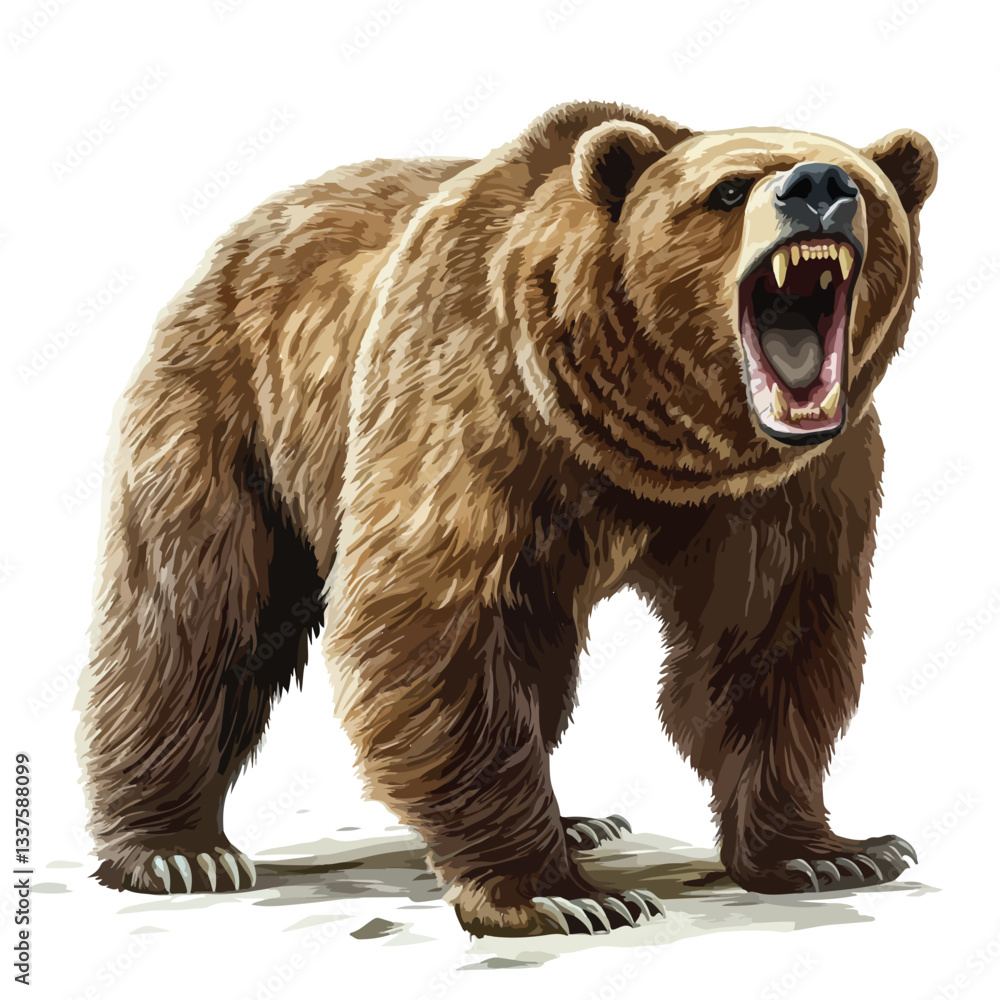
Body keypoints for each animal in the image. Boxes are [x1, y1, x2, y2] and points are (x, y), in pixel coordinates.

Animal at [76, 100, 937, 937]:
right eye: (727, 191)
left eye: (866, 186)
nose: (818, 185)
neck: (662, 442)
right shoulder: (474, 400)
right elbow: (430, 621)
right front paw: (556, 895)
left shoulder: (790, 486)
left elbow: (771, 641)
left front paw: (828, 852)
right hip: (227, 410)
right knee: (193, 619)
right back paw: (174, 851)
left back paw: (582, 822)